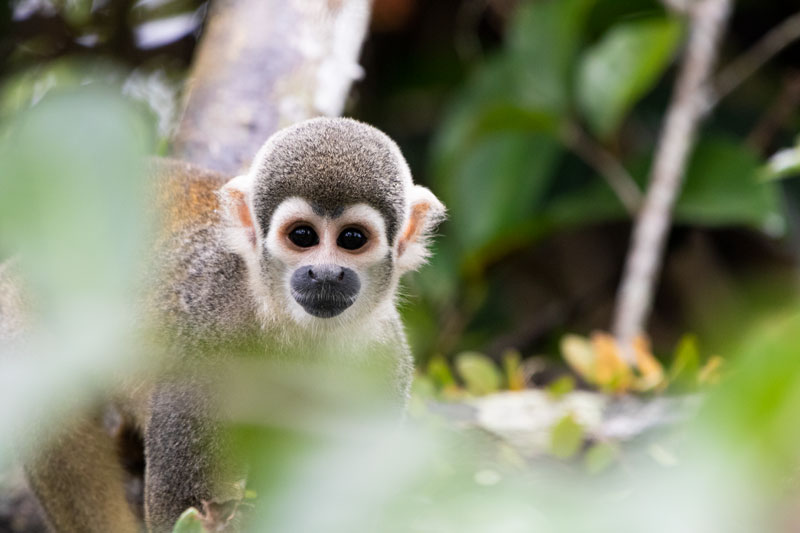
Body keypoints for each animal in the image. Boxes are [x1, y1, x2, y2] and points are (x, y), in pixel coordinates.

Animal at [17, 117, 445, 533]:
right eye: (303, 235)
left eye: (352, 239)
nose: (325, 274)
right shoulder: (209, 334)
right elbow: (184, 505)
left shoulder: (383, 360)